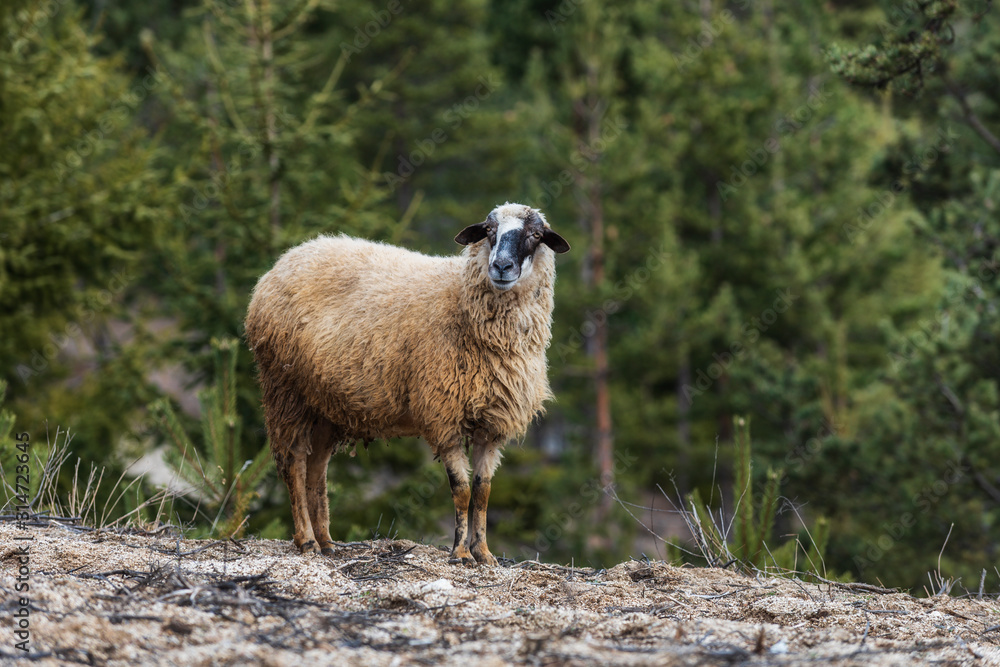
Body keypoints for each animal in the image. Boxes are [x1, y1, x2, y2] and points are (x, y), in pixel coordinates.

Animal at [245, 203, 570, 565]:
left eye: (536, 235)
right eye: (488, 231)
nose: (501, 267)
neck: (461, 303)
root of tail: (286, 260)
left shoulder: (492, 425)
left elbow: (483, 491)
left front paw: (483, 553)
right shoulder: (443, 416)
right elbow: (462, 490)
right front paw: (460, 553)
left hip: (326, 405)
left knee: (316, 470)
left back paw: (327, 542)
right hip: (286, 390)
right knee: (294, 465)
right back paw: (306, 541)